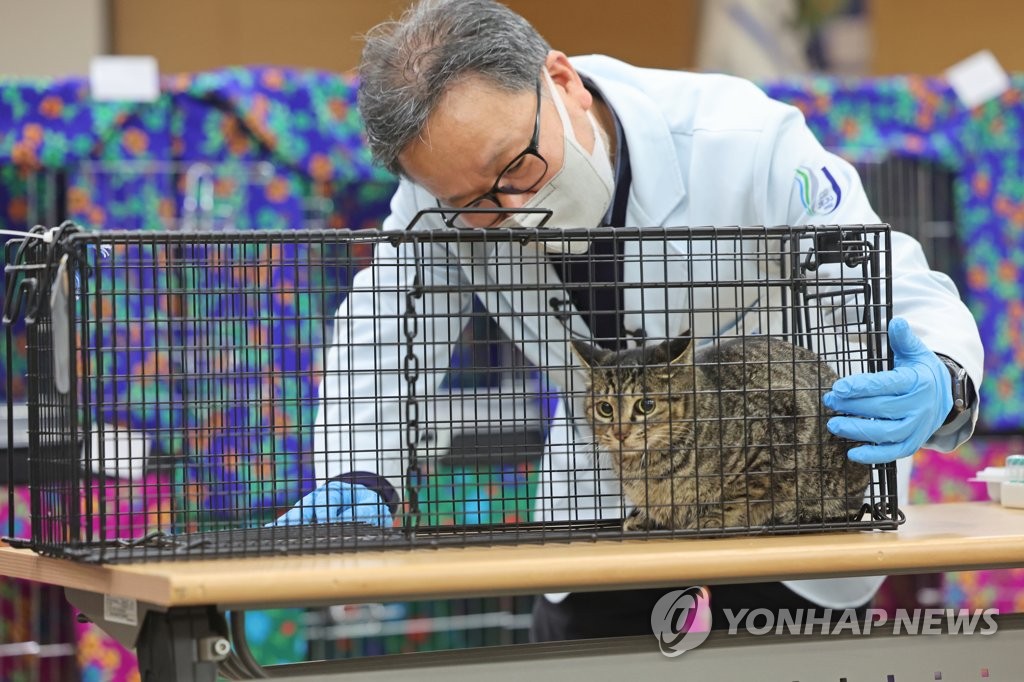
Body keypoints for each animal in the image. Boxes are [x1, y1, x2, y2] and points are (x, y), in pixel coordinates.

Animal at [573, 333, 868, 532]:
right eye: (605, 408)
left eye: (646, 405)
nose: (619, 432)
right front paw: (646, 518)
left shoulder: (783, 428)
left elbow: (742, 493)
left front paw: (710, 519)